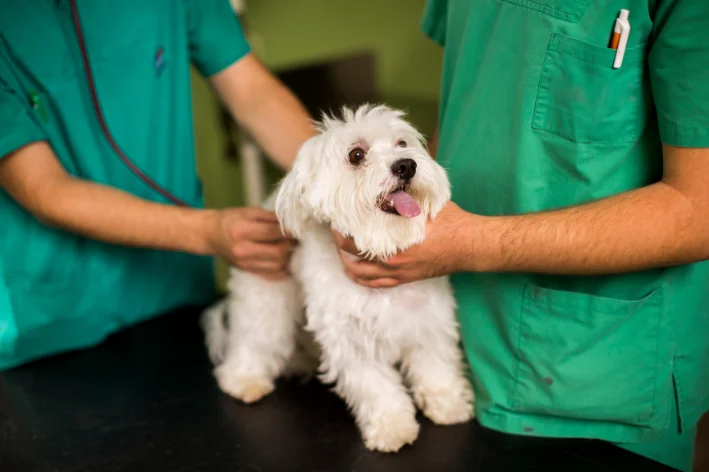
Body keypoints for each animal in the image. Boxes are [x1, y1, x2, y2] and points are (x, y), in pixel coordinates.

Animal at [202, 104, 472, 454]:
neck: (380, 245)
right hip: (266, 297)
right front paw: (392, 428)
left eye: (402, 143)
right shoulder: (351, 341)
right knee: (256, 337)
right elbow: (377, 388)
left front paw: (447, 403)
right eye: (356, 155)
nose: (406, 165)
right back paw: (243, 379)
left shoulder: (429, 321)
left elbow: (437, 366)